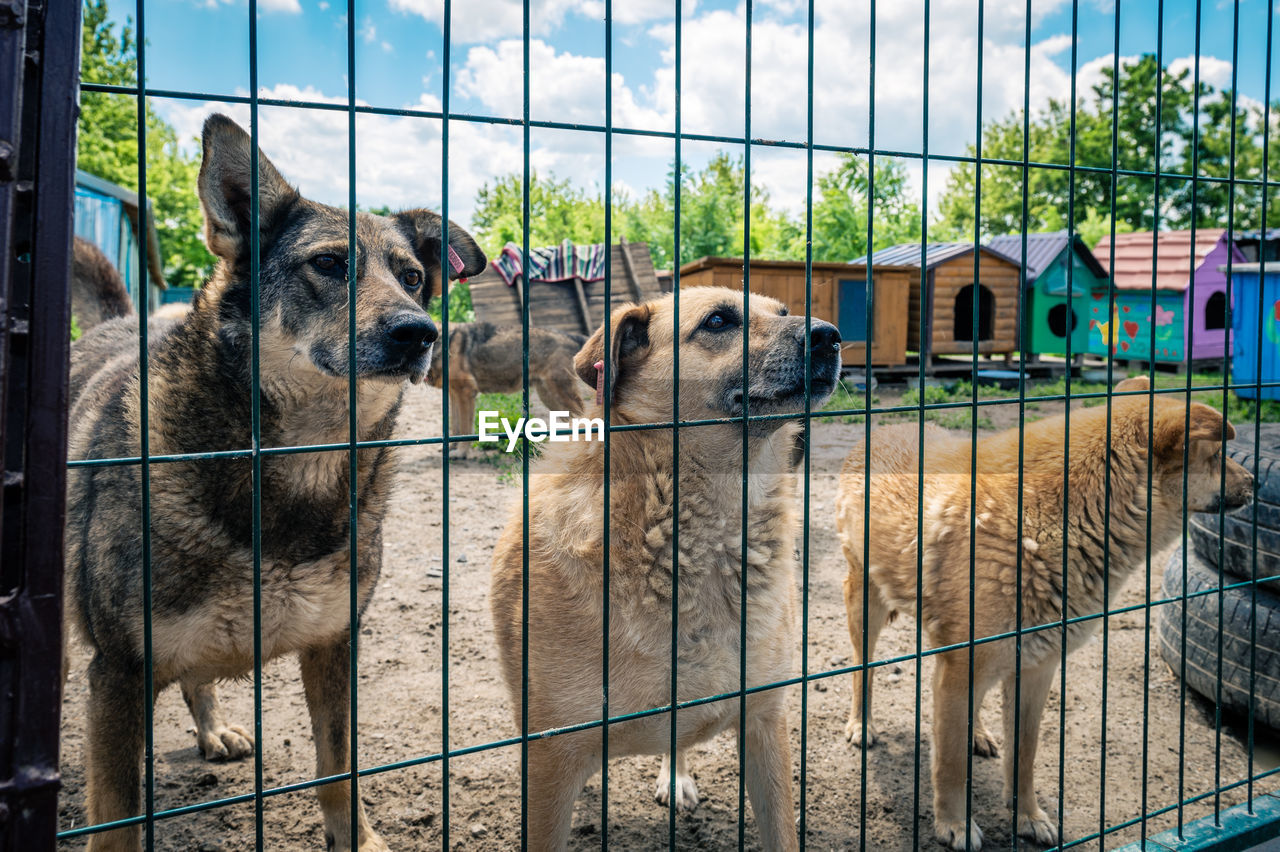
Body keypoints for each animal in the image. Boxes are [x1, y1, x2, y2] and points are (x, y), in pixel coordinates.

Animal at [66, 114, 483, 849]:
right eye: (328, 264)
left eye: (411, 276)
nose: (421, 332)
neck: (299, 468)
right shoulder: (117, 673)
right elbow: (115, 817)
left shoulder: (334, 644)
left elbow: (339, 768)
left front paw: (359, 840)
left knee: (198, 679)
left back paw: (213, 731)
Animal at [486, 284, 839, 844]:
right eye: (718, 321)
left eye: (784, 312)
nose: (831, 335)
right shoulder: (552, 759)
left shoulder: (765, 723)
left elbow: (780, 829)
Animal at [834, 378, 1254, 849]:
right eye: (1216, 455)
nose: (1256, 482)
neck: (1052, 519)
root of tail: (885, 428)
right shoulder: (965, 667)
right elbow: (950, 763)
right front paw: (954, 824)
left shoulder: (1034, 671)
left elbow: (1024, 755)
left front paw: (1027, 817)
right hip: (866, 609)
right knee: (864, 670)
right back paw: (861, 724)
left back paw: (977, 733)